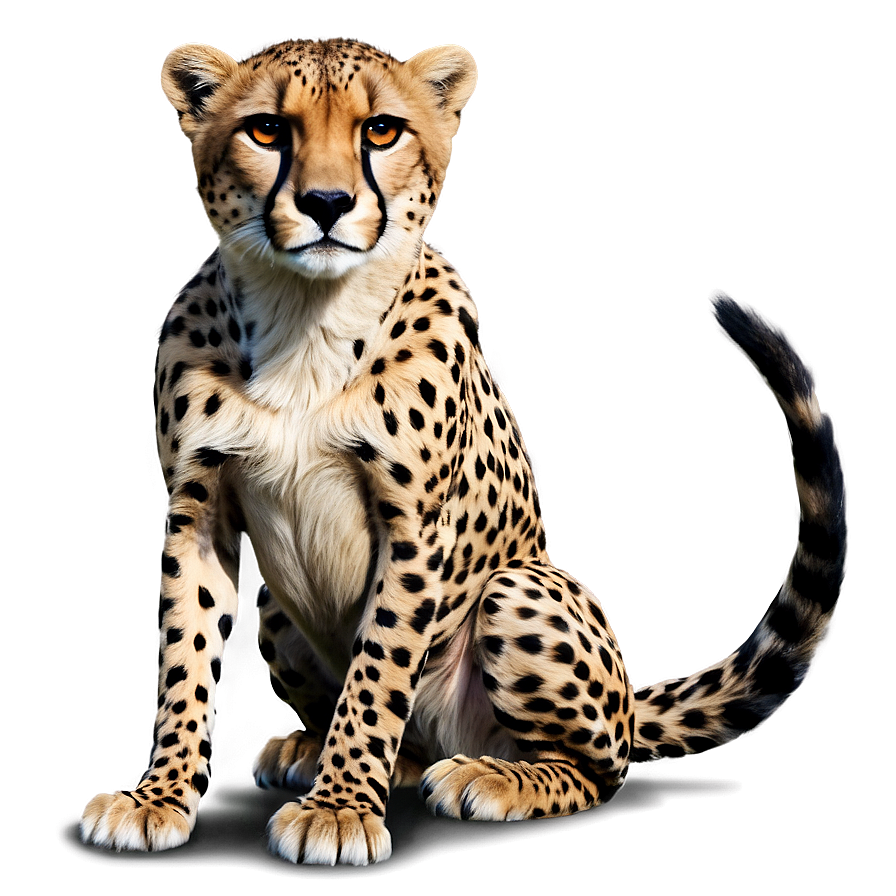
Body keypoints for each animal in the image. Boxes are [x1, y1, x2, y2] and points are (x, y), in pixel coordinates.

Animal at [80, 37, 845, 865]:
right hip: (276, 616)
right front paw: (158, 797)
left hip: (520, 591)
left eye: (381, 131)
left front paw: (340, 810)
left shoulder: (417, 528)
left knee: (599, 770)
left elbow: (379, 669)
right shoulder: (197, 513)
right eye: (267, 130)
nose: (326, 203)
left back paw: (489, 778)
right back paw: (313, 751)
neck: (305, 321)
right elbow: (185, 660)